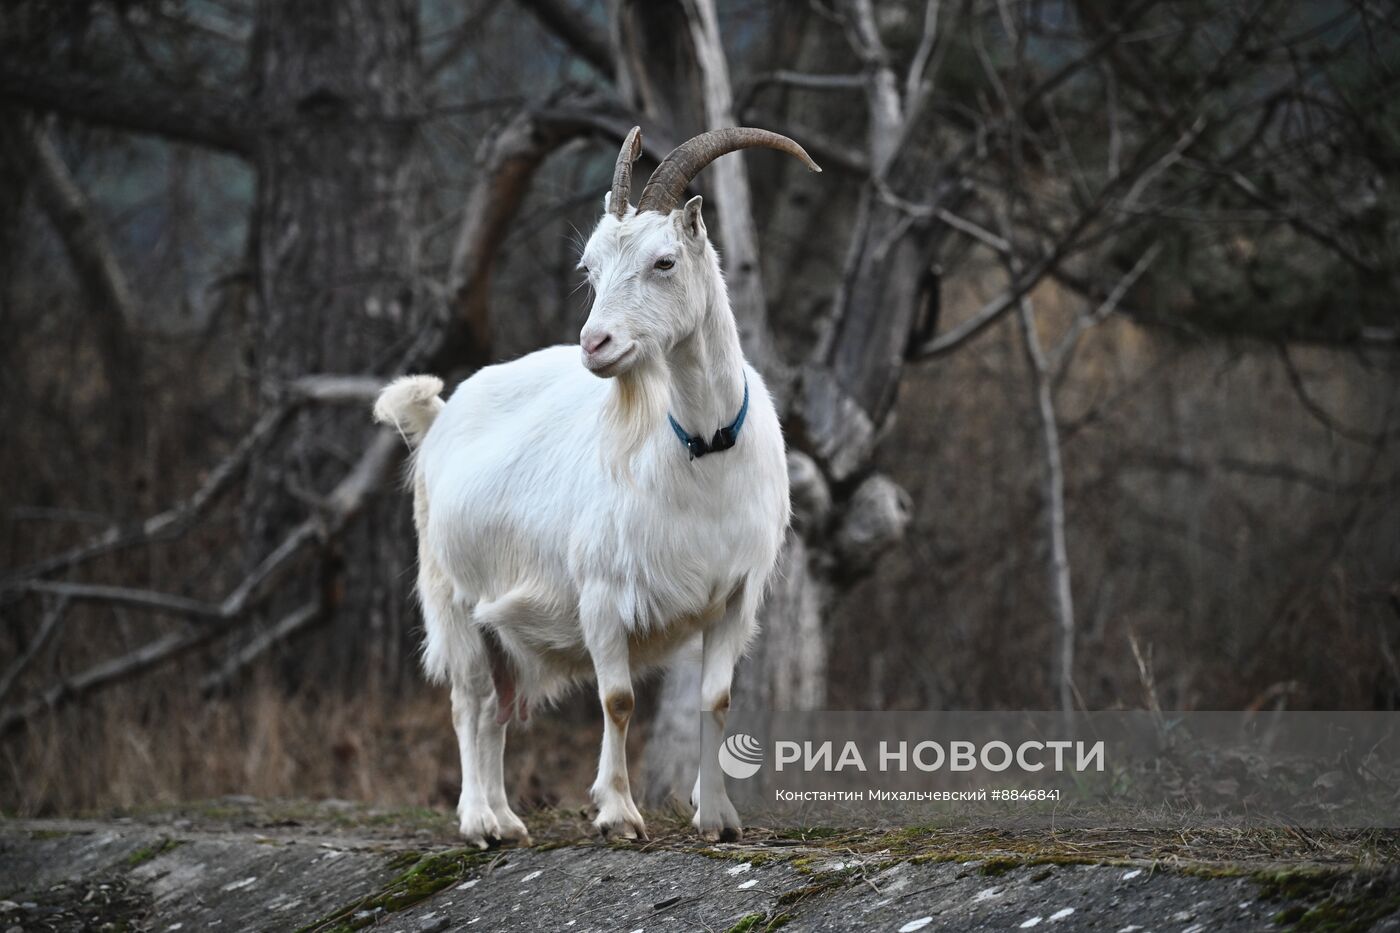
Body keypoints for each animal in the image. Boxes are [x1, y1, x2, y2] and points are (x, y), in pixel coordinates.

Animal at [372, 125, 817, 840]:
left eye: (664, 262)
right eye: (591, 269)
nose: (595, 344)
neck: (700, 450)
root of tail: (438, 417)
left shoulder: (733, 597)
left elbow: (715, 701)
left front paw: (717, 817)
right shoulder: (603, 594)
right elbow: (618, 698)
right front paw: (617, 814)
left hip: (500, 625)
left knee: (496, 708)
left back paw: (508, 820)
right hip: (451, 597)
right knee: (470, 701)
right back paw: (479, 821)